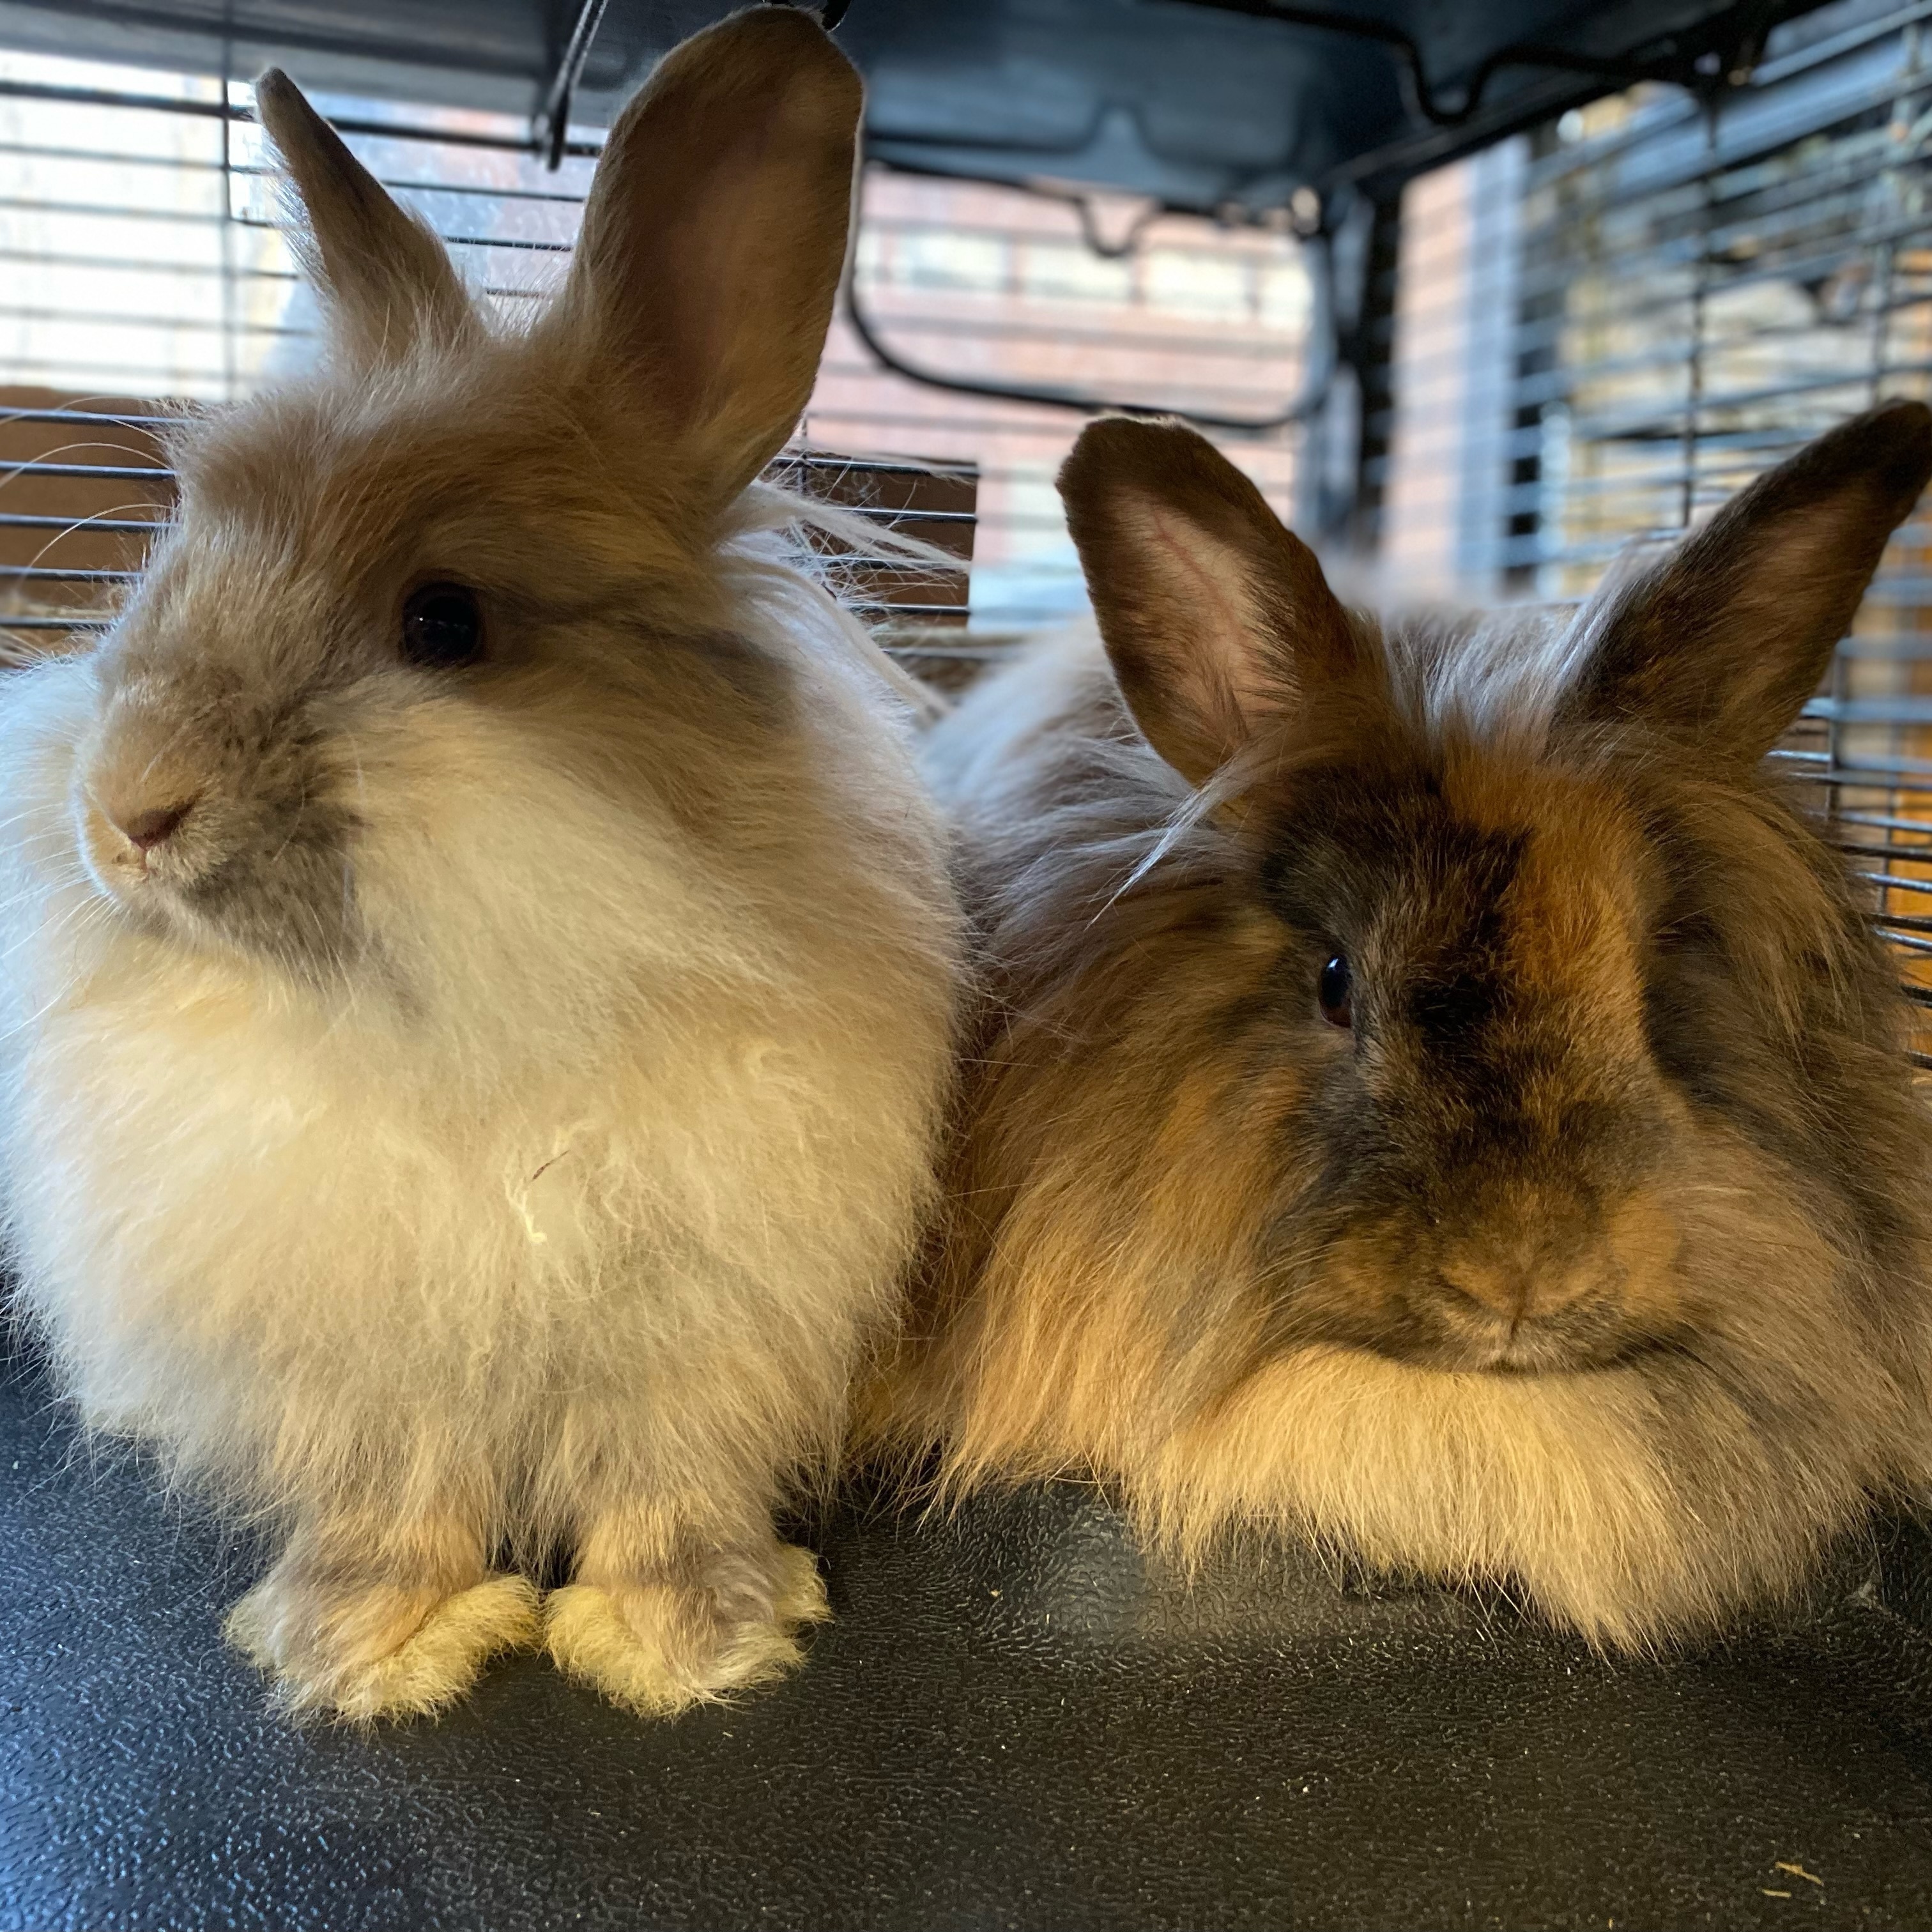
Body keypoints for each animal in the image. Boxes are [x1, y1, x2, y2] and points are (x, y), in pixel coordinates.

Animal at [0, 6, 960, 1722]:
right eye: (165, 566)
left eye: (443, 624)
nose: (127, 811)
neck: (474, 1015)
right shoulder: (370, 1370)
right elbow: (397, 1504)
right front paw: (376, 1654)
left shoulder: (700, 1337)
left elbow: (667, 1489)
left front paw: (683, 1650)